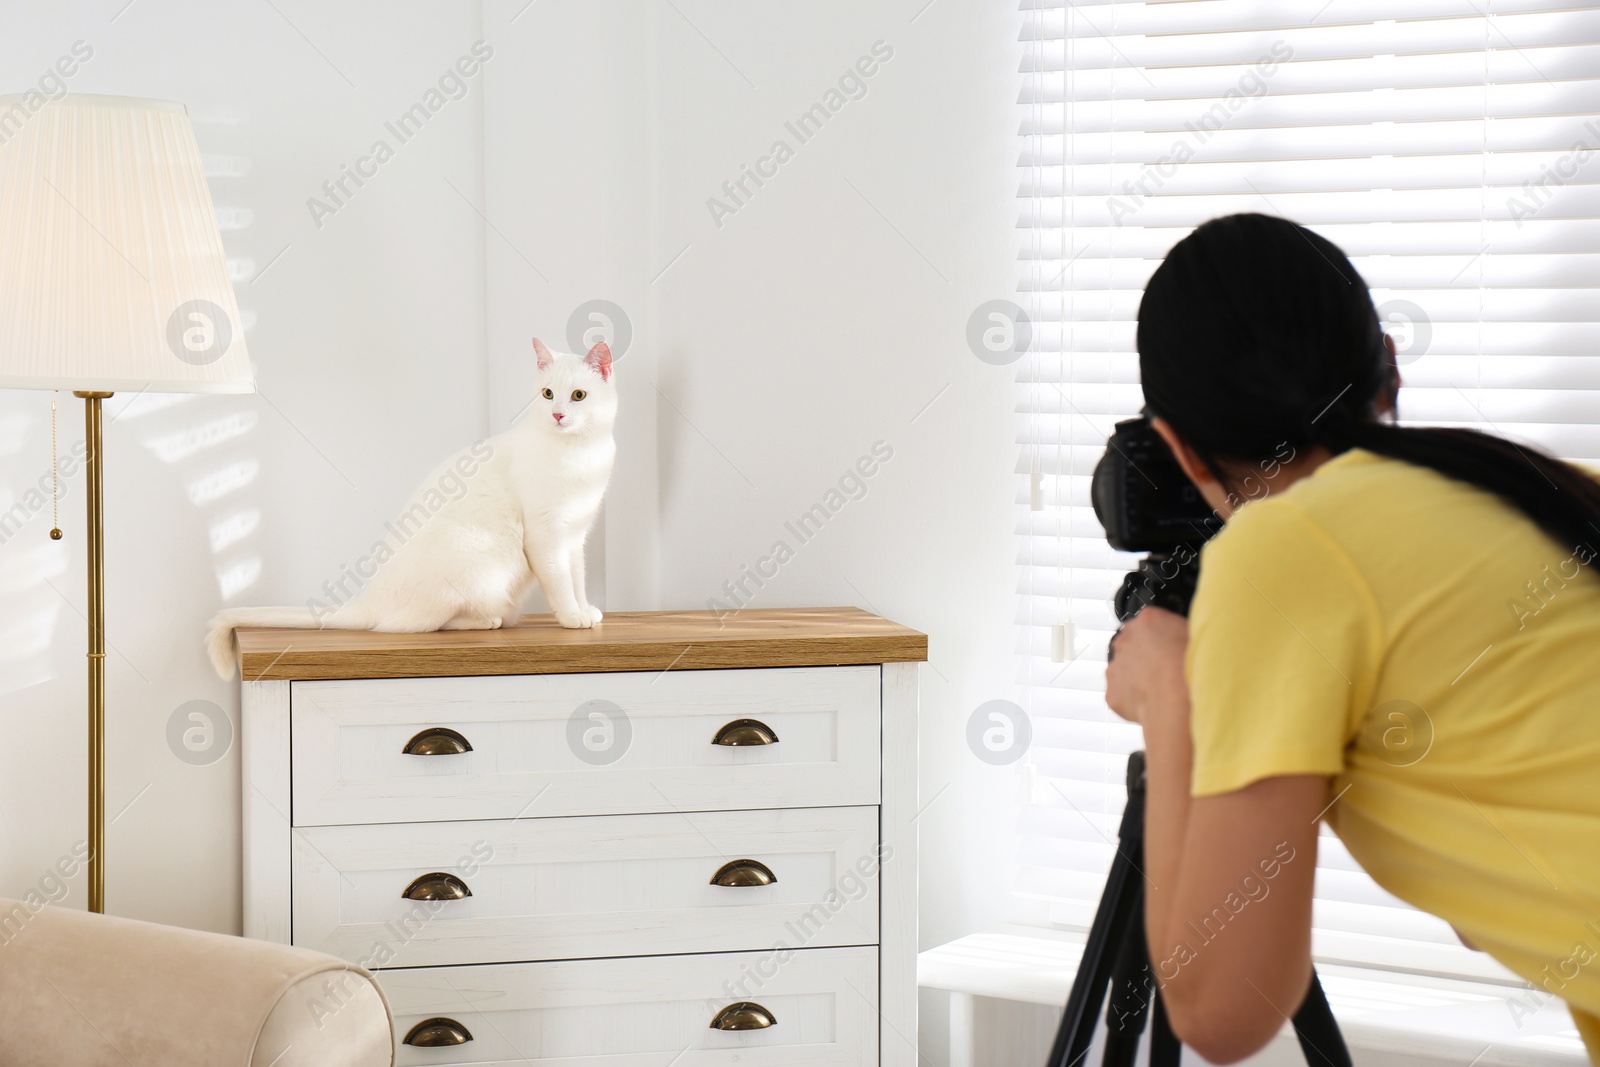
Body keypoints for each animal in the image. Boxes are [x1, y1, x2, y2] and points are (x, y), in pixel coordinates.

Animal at [206, 337, 617, 681]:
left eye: (578, 395)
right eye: (548, 394)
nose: (558, 414)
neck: (578, 453)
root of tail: (370, 596)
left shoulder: (574, 536)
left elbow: (577, 578)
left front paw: (586, 610)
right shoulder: (545, 536)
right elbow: (560, 582)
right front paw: (570, 617)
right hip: (480, 564)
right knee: (417, 625)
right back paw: (488, 620)